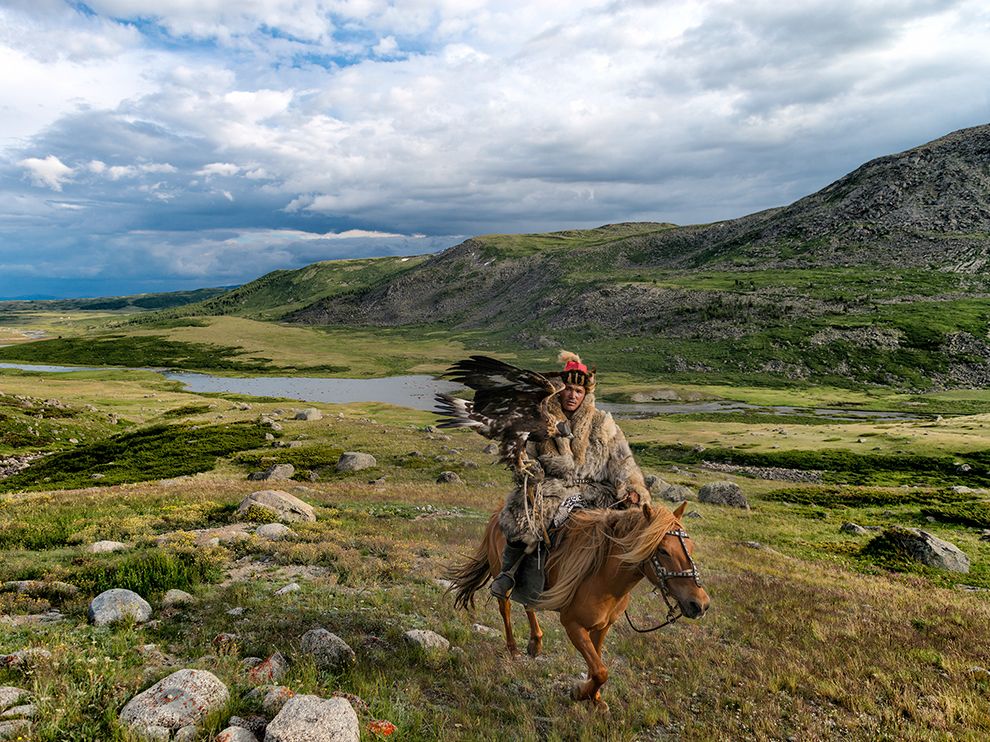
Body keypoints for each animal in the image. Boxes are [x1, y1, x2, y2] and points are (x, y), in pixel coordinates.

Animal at [450, 502, 712, 708]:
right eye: (663, 550)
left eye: (691, 548)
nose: (699, 604)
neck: (604, 577)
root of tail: (497, 514)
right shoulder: (573, 625)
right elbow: (601, 671)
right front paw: (579, 693)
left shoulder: (602, 627)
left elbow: (597, 666)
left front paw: (594, 698)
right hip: (500, 577)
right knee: (505, 609)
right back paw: (513, 649)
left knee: (529, 605)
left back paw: (536, 642)